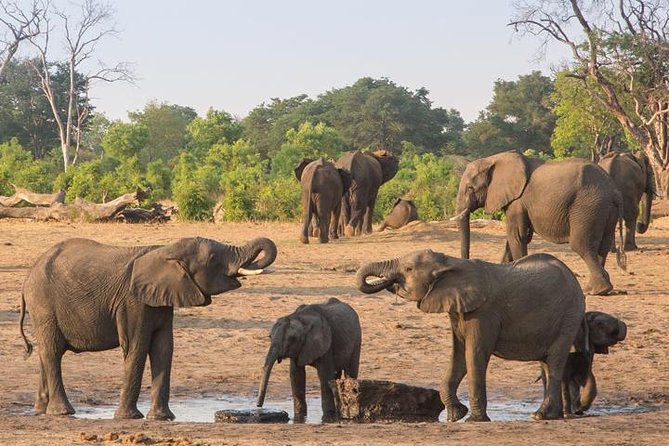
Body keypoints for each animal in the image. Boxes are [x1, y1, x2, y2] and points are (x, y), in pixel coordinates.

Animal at [19, 236, 277, 420]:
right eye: (213, 258)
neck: (165, 250)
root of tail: (28, 276)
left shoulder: (161, 300)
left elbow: (164, 348)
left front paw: (163, 418)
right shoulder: (133, 302)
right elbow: (137, 348)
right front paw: (129, 417)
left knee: (46, 353)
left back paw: (41, 410)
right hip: (44, 304)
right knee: (52, 351)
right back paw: (63, 412)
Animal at [356, 249, 586, 421]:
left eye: (408, 269)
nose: (391, 282)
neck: (450, 262)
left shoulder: (484, 313)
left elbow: (473, 354)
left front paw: (473, 420)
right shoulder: (458, 309)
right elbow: (458, 356)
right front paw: (455, 416)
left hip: (569, 315)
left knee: (554, 361)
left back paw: (540, 415)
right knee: (546, 363)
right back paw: (551, 416)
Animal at [451, 150, 625, 296]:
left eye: (470, 188)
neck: (494, 159)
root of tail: (613, 190)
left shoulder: (517, 201)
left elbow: (517, 236)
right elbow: (513, 238)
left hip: (587, 206)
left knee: (581, 245)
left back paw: (596, 290)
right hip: (606, 209)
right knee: (603, 246)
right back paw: (597, 288)